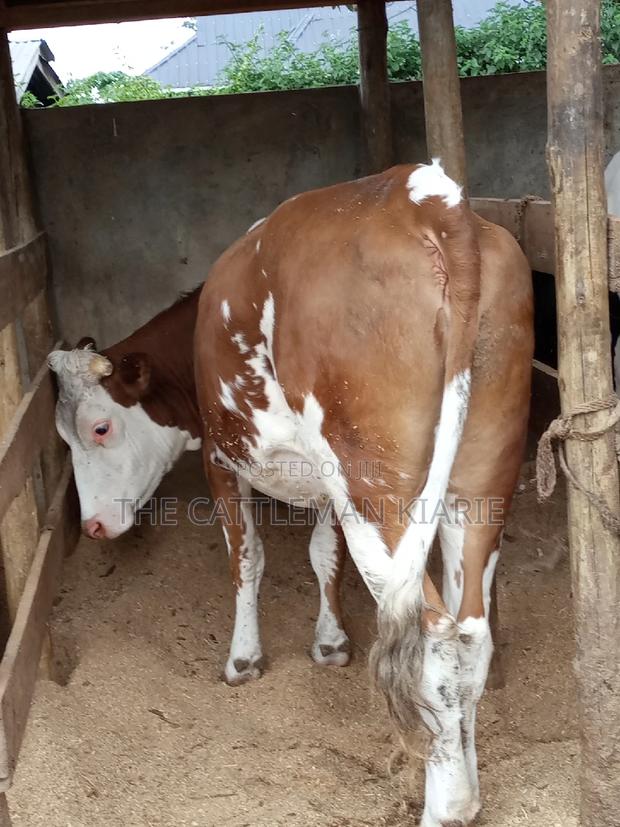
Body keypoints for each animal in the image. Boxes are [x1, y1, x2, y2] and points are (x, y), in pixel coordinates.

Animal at [49, 160, 533, 826]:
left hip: (376, 489)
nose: (92, 526)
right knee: (470, 634)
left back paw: (448, 806)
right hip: (479, 482)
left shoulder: (224, 461)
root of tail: (421, 193)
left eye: (100, 427)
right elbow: (323, 555)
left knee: (434, 638)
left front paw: (243, 660)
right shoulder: (324, 481)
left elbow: (247, 558)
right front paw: (329, 643)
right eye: (60, 437)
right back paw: (470, 787)